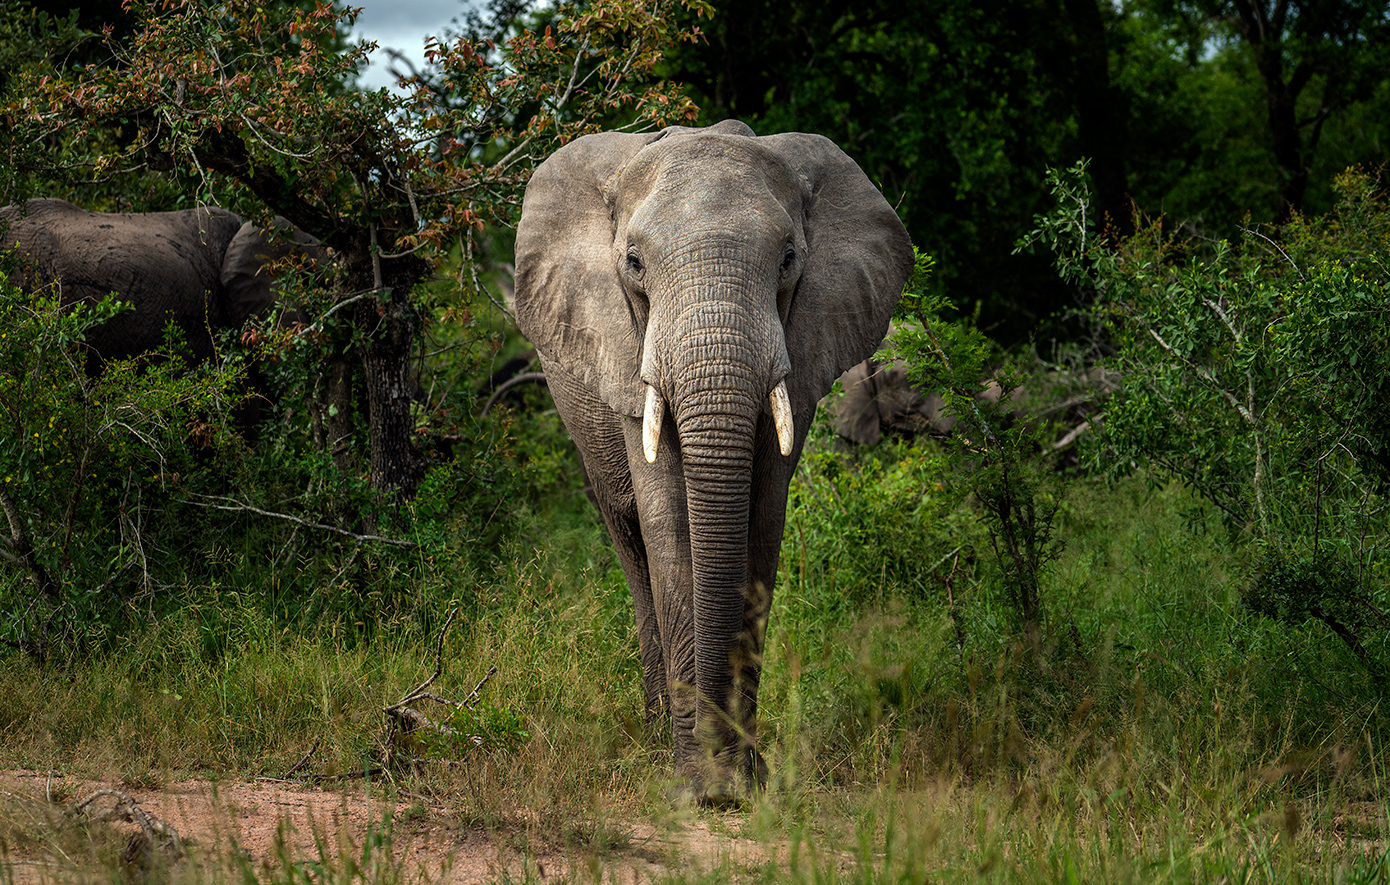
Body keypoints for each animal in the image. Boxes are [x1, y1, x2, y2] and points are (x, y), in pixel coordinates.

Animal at [517, 118, 917, 800]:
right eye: (632, 263)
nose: (718, 779)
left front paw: (745, 781)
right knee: (631, 544)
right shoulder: (625, 354)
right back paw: (655, 735)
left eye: (788, 260)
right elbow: (668, 526)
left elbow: (761, 523)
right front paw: (695, 785)